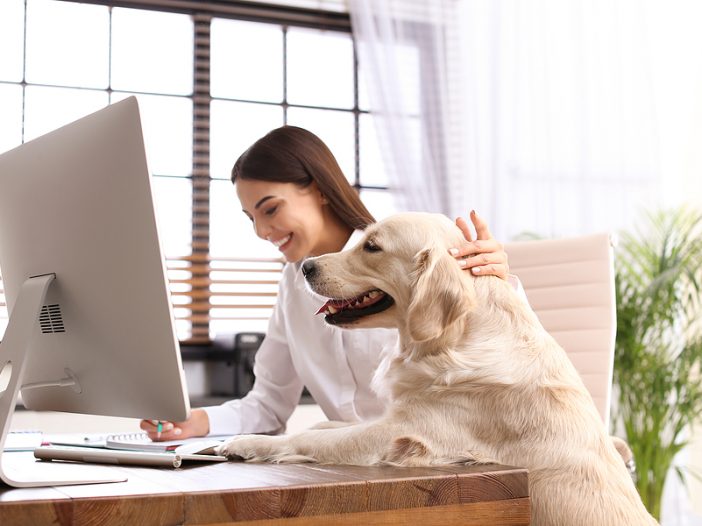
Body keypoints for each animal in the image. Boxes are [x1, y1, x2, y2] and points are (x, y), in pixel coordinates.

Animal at [220, 212, 660, 524]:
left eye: (372, 247)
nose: (306, 266)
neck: (452, 341)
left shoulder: (402, 433)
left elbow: (310, 439)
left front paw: (246, 443)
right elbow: (326, 425)